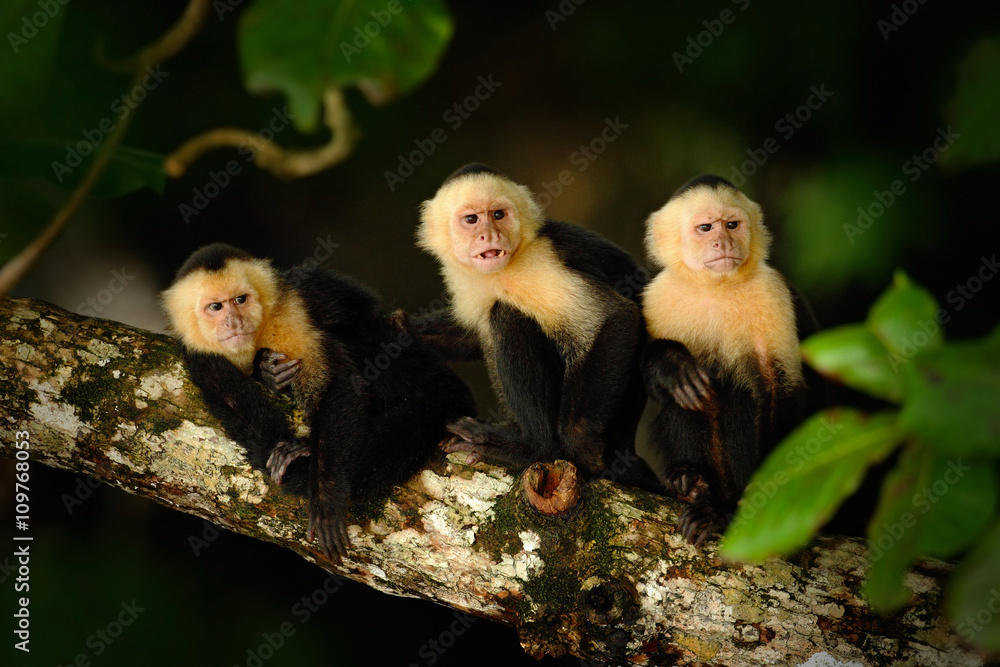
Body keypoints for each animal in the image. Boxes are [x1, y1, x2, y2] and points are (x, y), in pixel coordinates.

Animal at [161, 243, 475, 559]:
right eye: (216, 307)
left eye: (241, 300)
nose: (233, 322)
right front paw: (267, 372)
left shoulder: (289, 312)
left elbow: (337, 383)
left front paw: (326, 494)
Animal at [409, 164, 662, 491]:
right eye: (471, 219)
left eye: (498, 215)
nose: (489, 235)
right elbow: (469, 335)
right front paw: (403, 326)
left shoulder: (534, 264)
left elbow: (617, 317)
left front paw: (579, 443)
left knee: (505, 314)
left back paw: (531, 446)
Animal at [641, 175, 822, 545]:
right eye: (706, 227)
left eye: (732, 225)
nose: (722, 241)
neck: (716, 287)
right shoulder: (659, 295)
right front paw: (672, 366)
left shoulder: (771, 292)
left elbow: (778, 387)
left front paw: (756, 503)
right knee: (692, 397)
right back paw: (692, 483)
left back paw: (721, 509)